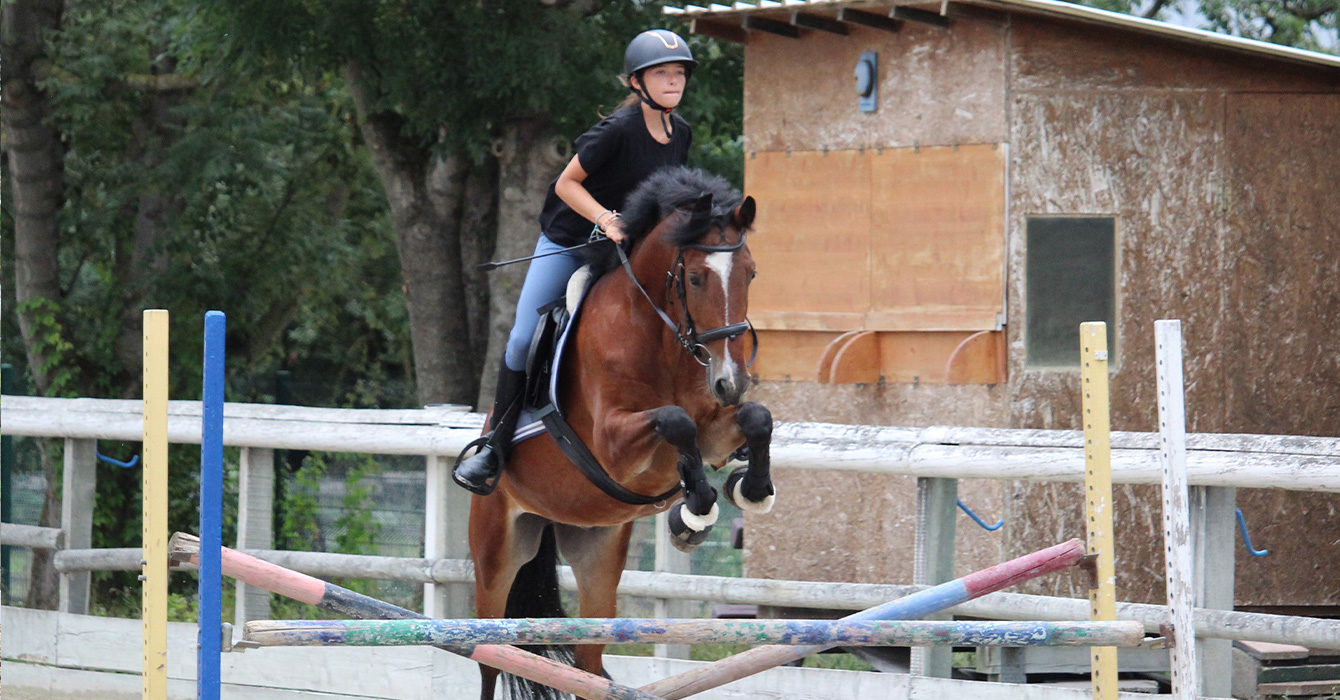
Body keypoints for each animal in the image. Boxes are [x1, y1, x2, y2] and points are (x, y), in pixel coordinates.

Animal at [469, 166, 777, 691]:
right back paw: (482, 463)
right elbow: (675, 422)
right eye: (695, 277)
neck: (662, 335)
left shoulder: (715, 426)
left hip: (596, 554)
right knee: (490, 658)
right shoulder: (613, 444)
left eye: (751, 273)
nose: (731, 382)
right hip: (494, 556)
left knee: (589, 661)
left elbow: (755, 419)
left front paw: (749, 488)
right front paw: (695, 510)